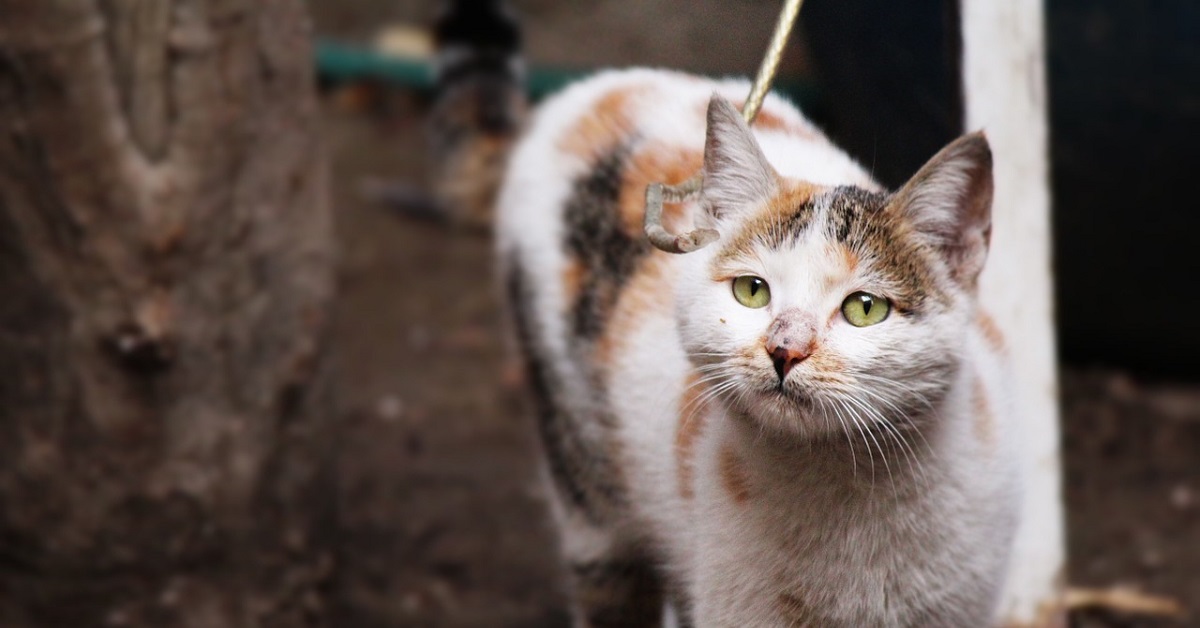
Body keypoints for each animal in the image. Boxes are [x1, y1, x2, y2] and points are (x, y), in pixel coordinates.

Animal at [441, 3, 1022, 624]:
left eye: (865, 308)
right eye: (752, 291)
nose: (784, 349)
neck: (844, 489)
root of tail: (586, 94)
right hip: (584, 476)